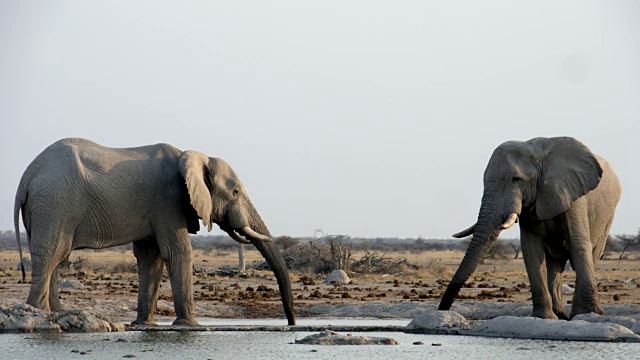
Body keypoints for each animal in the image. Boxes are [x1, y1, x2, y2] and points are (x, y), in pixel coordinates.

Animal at [13, 138, 296, 326]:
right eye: (235, 191)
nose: (291, 324)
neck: (190, 156)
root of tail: (27, 176)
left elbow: (151, 258)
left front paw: (144, 327)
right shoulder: (168, 201)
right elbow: (178, 252)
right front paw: (190, 327)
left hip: (48, 206)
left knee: (56, 258)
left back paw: (58, 316)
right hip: (54, 203)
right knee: (52, 253)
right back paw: (39, 316)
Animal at [440, 136, 620, 320]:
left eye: (516, 179)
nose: (443, 308)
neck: (538, 153)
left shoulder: (573, 196)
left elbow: (577, 242)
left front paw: (588, 313)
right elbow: (530, 248)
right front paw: (544, 317)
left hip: (608, 218)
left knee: (589, 255)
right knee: (555, 264)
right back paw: (560, 314)